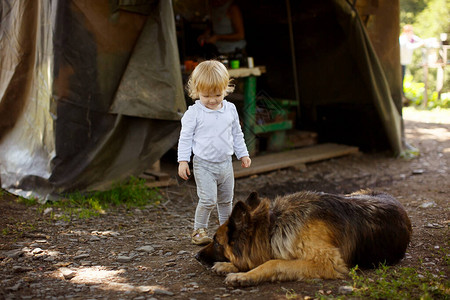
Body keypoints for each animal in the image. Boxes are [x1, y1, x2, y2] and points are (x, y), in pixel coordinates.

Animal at [195, 190, 410, 286]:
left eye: (217, 242)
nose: (196, 257)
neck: (273, 226)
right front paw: (228, 266)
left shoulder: (327, 262)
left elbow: (273, 263)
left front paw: (243, 276)